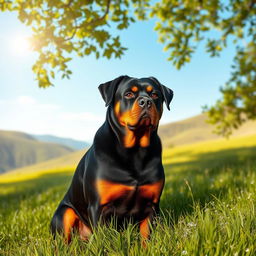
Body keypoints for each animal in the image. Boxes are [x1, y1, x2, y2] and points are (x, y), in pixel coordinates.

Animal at [50, 74, 174, 244]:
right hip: (65, 213)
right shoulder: (99, 207)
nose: (146, 101)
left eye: (155, 95)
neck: (135, 152)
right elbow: (104, 240)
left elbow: (146, 237)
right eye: (128, 94)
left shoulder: (152, 205)